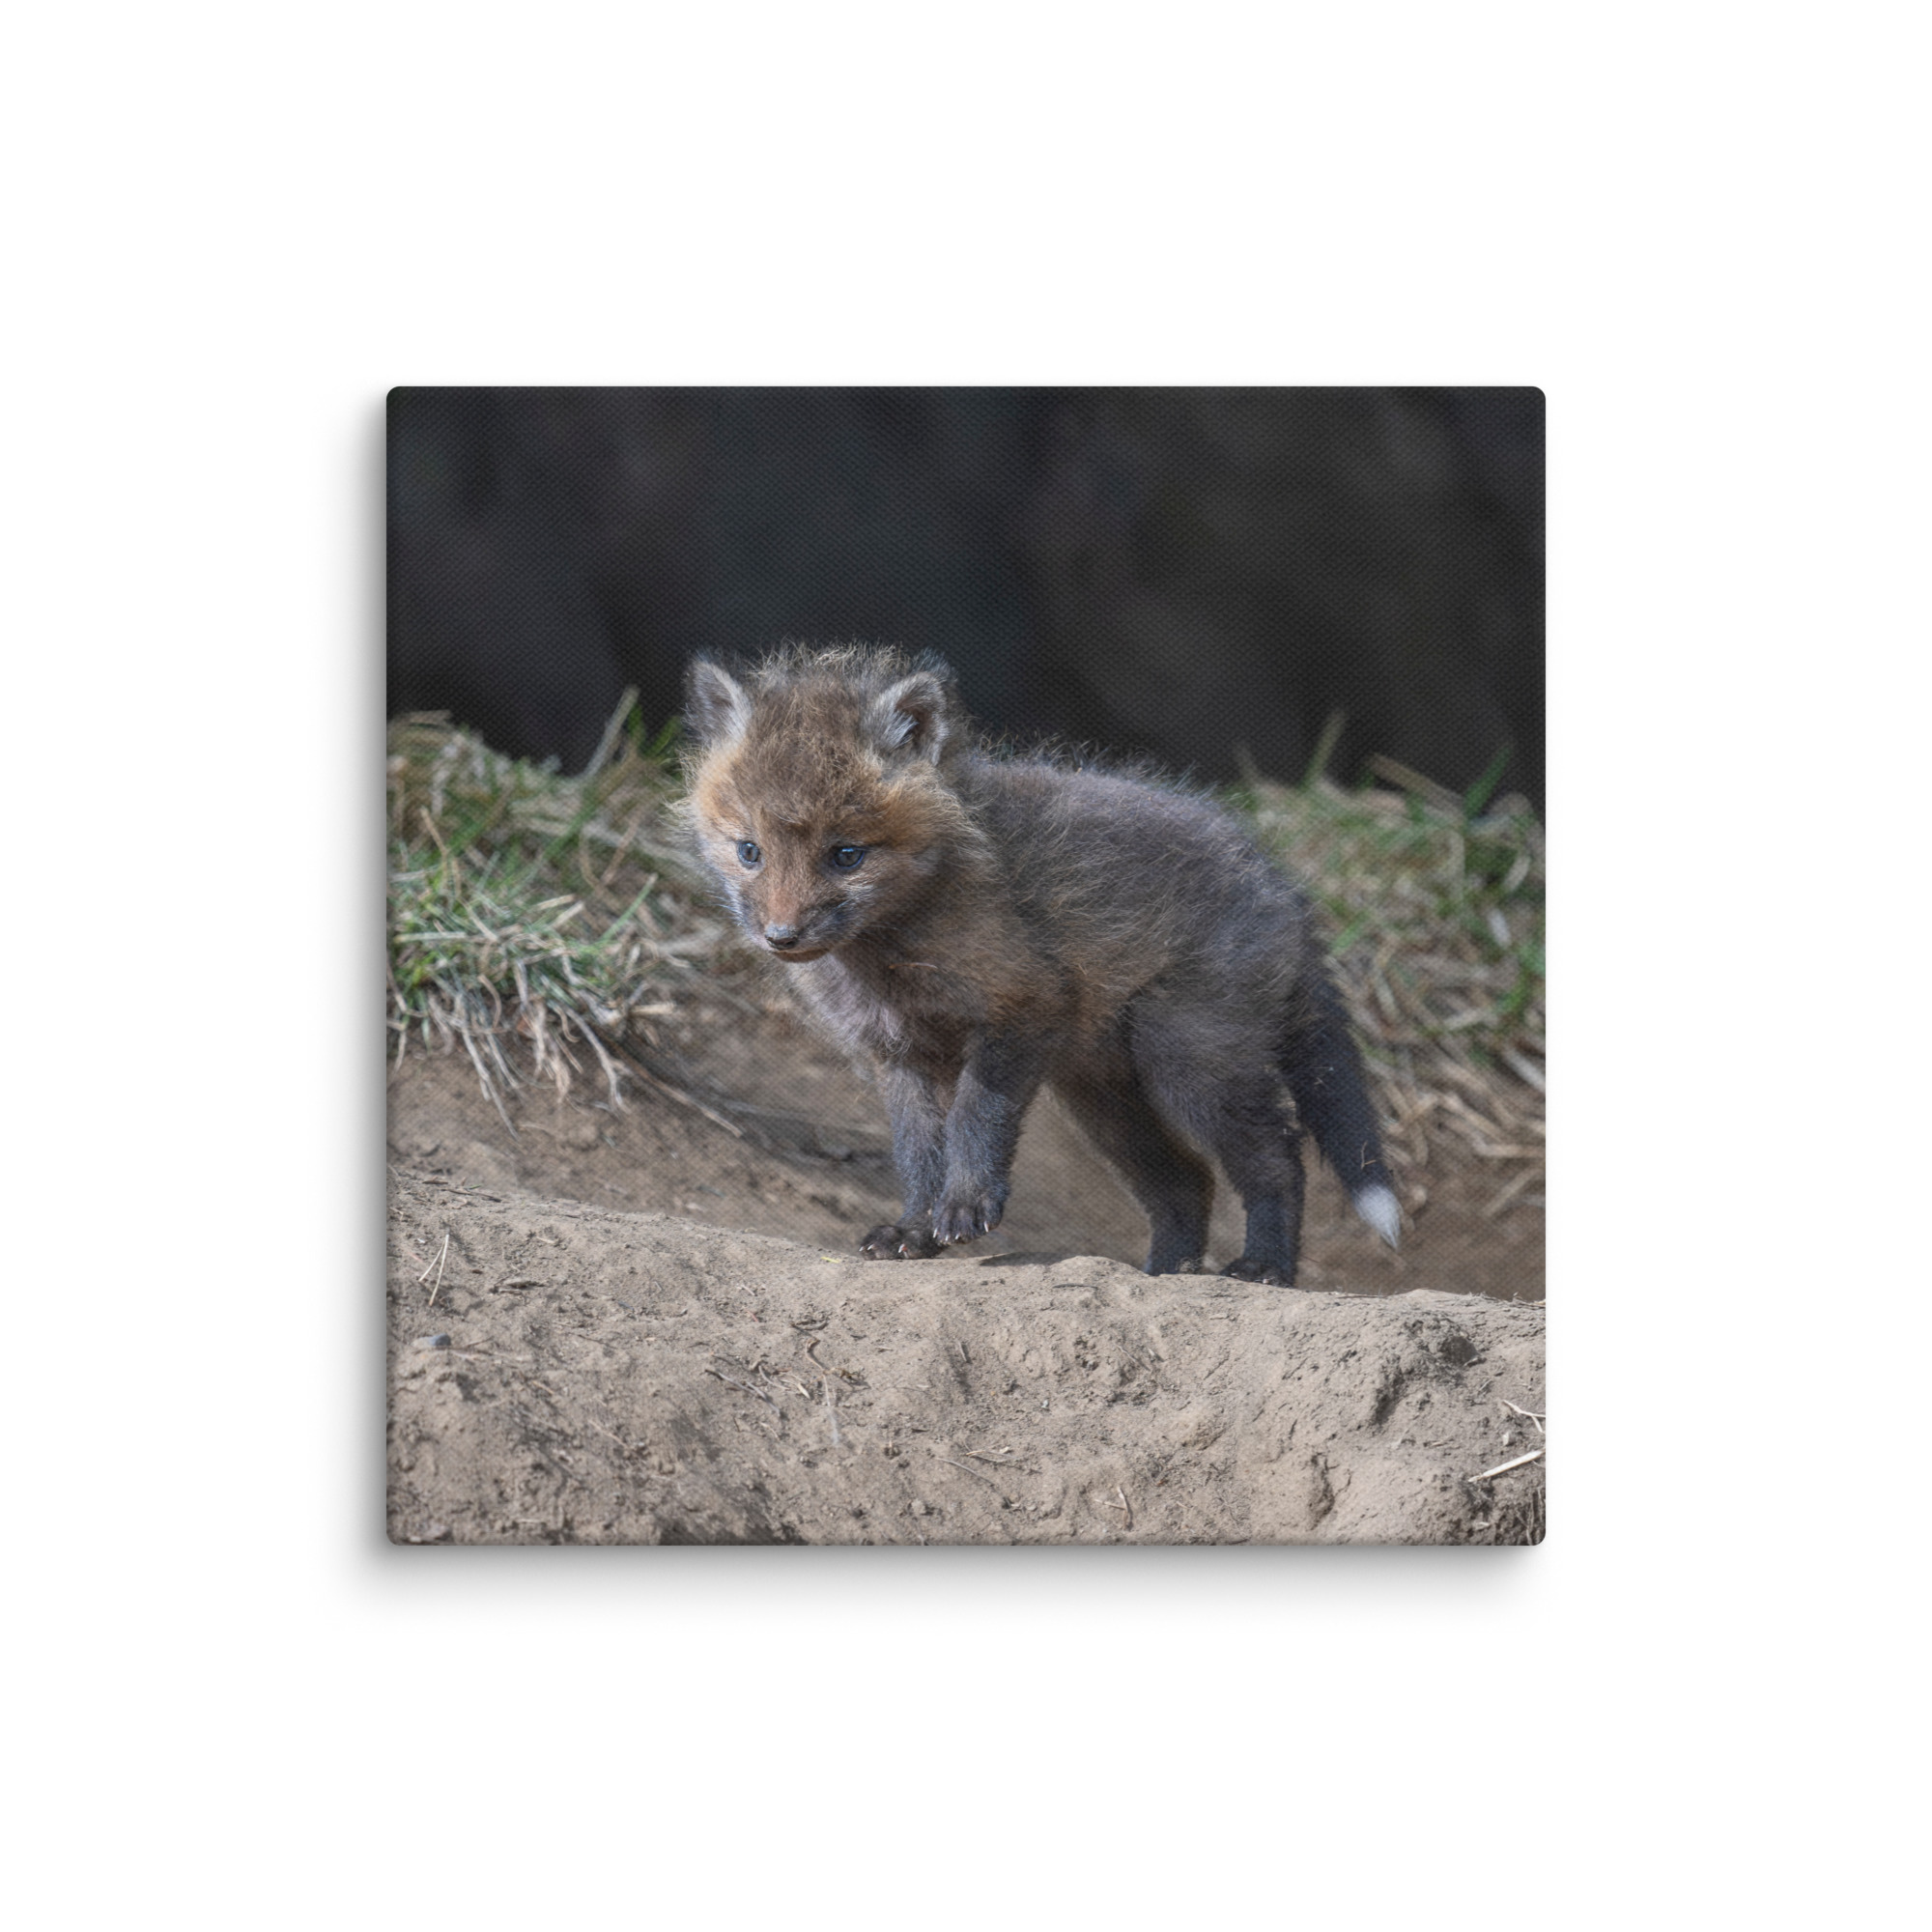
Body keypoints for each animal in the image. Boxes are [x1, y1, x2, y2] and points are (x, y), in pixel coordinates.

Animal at [681, 643, 1401, 1285]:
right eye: (749, 851)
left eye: (846, 855)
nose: (781, 937)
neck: (889, 959)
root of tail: (1281, 885)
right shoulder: (899, 1054)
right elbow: (917, 1154)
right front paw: (915, 1230)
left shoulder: (1023, 1006)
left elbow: (976, 1118)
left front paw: (966, 1206)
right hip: (1104, 1097)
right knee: (1187, 1182)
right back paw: (1166, 1273)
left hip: (1189, 1062)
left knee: (1278, 1157)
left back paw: (1264, 1267)